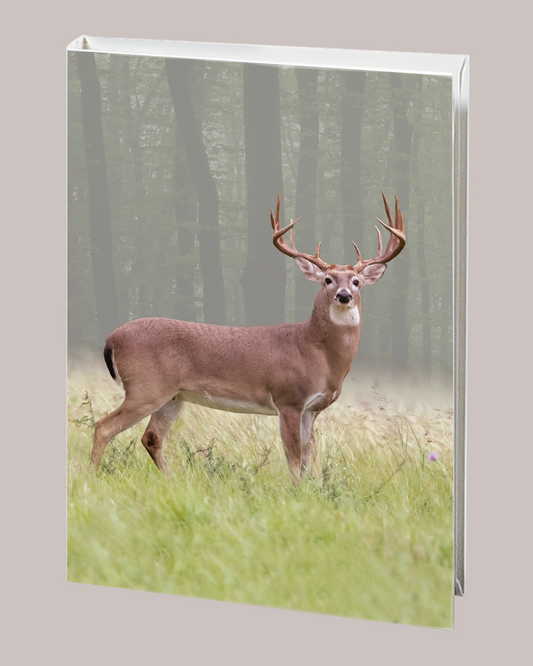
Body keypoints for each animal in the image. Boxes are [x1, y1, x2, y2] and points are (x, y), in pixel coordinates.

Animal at [91, 191, 405, 483]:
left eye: (356, 281)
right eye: (328, 280)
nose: (344, 295)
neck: (316, 351)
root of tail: (110, 340)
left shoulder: (311, 409)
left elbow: (308, 456)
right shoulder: (287, 398)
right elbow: (294, 456)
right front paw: (297, 491)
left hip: (172, 397)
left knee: (151, 438)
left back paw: (173, 481)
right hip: (145, 387)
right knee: (103, 426)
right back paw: (91, 475)